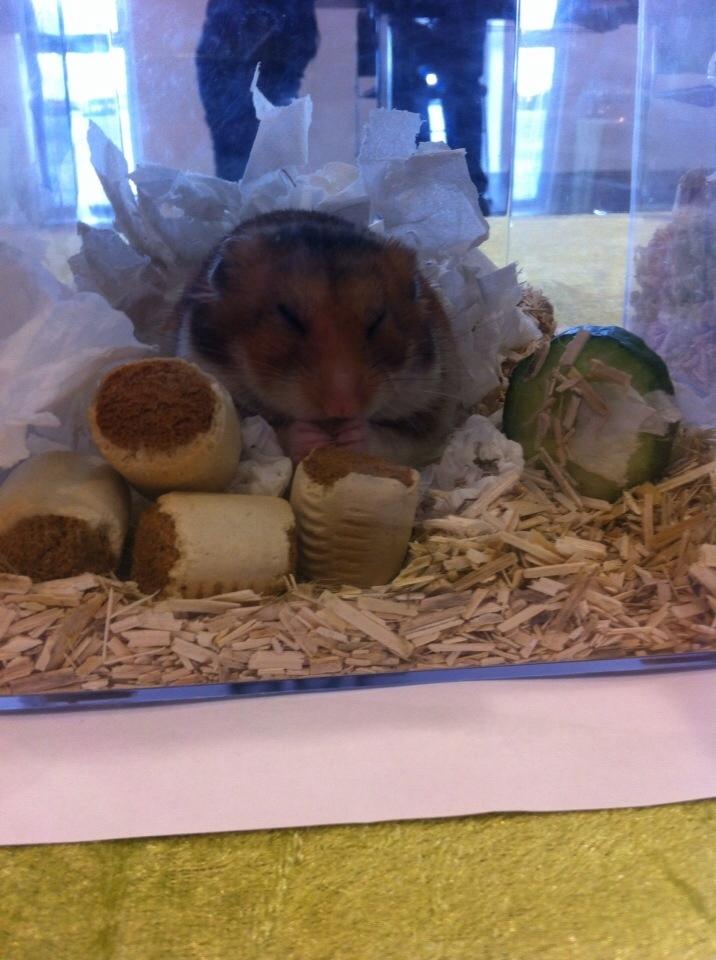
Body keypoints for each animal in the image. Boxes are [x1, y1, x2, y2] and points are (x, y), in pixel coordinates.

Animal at [176, 210, 459, 467]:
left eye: (378, 320)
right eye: (289, 317)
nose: (343, 408)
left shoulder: (431, 408)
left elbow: (394, 441)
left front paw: (351, 436)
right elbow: (267, 433)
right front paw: (312, 438)